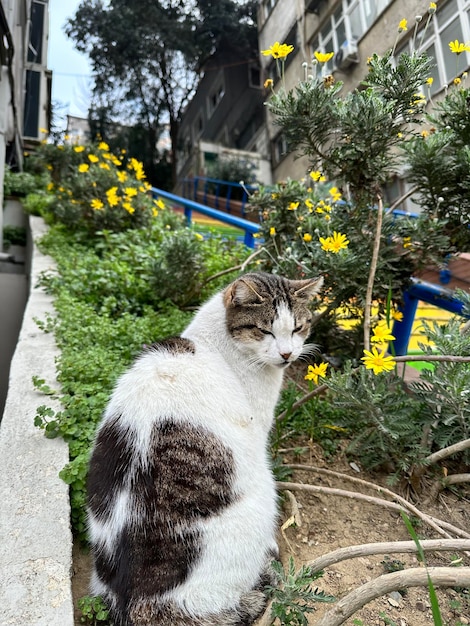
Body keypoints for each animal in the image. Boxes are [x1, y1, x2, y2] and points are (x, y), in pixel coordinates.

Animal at [87, 272, 324, 624]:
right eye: (265, 330)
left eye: (298, 327)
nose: (287, 355)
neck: (217, 343)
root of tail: (138, 604)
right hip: (261, 499)